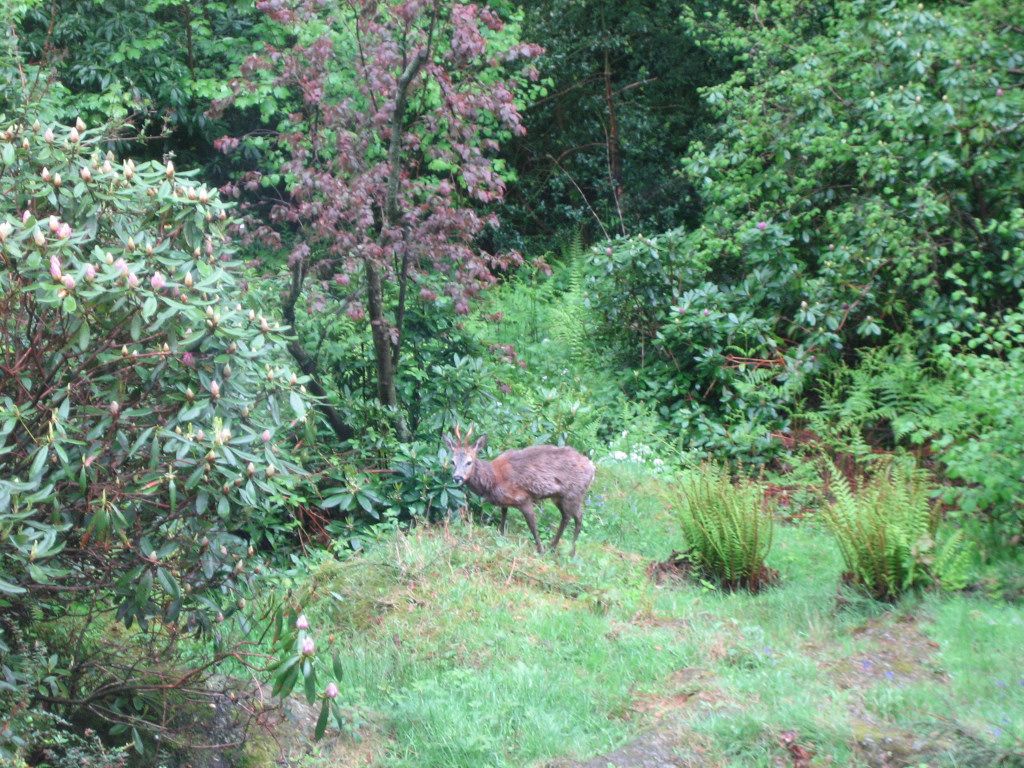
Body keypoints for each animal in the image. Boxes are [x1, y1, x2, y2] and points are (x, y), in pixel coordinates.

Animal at [444, 428, 598, 561]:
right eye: (452, 461)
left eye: (469, 462)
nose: (457, 477)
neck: (494, 479)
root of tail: (592, 467)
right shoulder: (504, 502)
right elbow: (503, 518)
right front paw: (501, 538)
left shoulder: (523, 498)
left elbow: (532, 526)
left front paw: (540, 550)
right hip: (559, 496)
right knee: (567, 517)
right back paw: (553, 547)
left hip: (574, 494)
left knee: (578, 517)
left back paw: (570, 552)